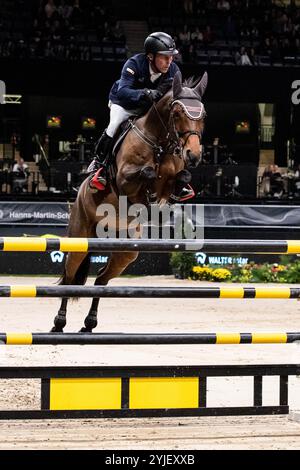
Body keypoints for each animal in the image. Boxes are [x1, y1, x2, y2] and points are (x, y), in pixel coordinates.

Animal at [51, 70, 206, 334]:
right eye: (176, 114)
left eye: (202, 116)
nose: (193, 155)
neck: (160, 144)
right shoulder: (124, 180)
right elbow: (147, 173)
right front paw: (150, 196)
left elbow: (180, 178)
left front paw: (165, 199)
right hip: (80, 236)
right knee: (71, 276)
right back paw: (59, 323)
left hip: (125, 252)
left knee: (101, 279)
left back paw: (89, 324)